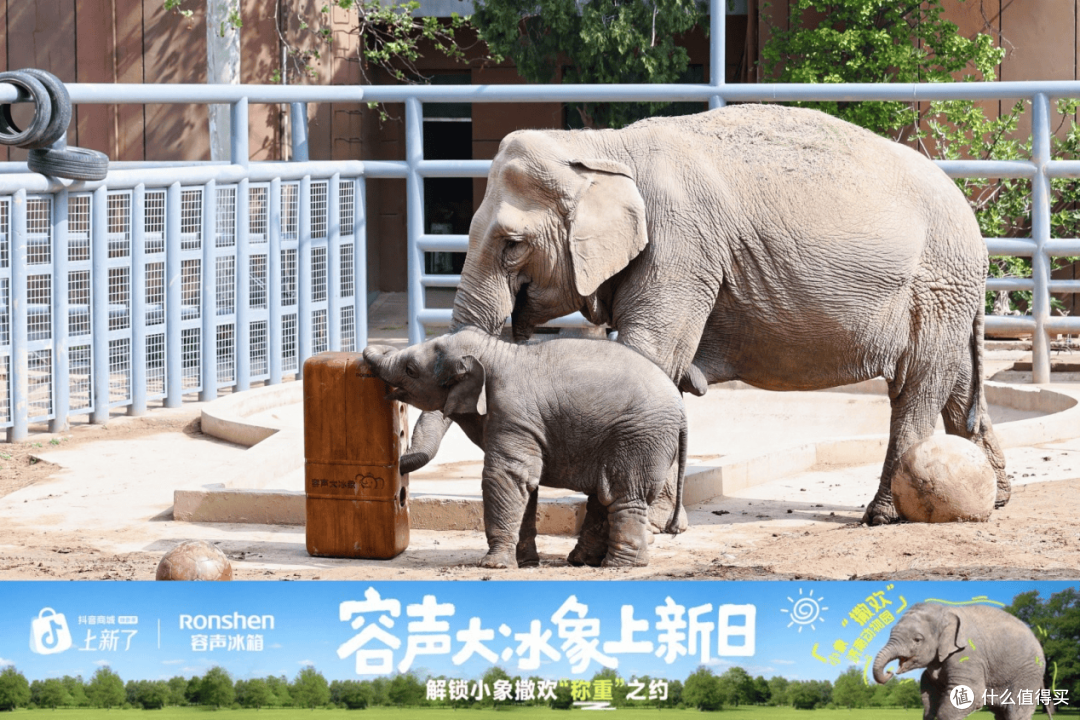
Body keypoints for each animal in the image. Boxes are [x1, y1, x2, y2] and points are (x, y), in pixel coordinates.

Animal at [362, 326, 687, 568]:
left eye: (411, 369)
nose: (367, 355)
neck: (495, 351)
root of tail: (682, 409)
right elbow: (525, 484)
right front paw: (525, 563)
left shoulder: (513, 415)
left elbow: (504, 476)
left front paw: (493, 565)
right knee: (603, 495)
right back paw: (583, 561)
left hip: (640, 437)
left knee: (622, 494)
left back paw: (620, 566)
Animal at [402, 102, 1007, 528]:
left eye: (512, 246)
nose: (404, 468)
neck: (603, 147)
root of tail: (977, 229)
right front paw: (661, 519)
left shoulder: (681, 243)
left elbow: (648, 353)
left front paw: (646, 518)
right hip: (947, 293)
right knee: (952, 385)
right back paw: (993, 499)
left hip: (934, 285)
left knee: (915, 387)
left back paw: (883, 516)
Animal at [874, 602, 1053, 719]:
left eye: (917, 640)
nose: (889, 672)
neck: (945, 611)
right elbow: (928, 686)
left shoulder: (969, 654)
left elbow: (971, 692)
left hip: (1029, 672)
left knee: (1017, 712)